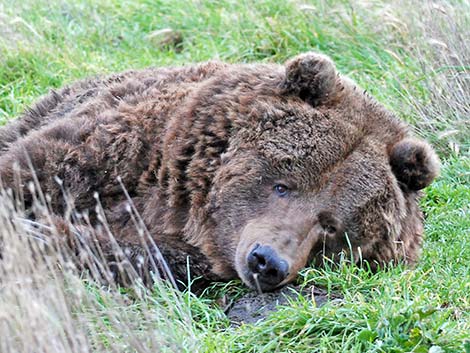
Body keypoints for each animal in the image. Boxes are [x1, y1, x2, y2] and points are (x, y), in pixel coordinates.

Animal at [0, 51, 440, 288]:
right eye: (284, 185)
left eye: (332, 226)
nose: (267, 261)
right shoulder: (117, 148)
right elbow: (30, 172)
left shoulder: (186, 254)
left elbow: (126, 253)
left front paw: (45, 232)